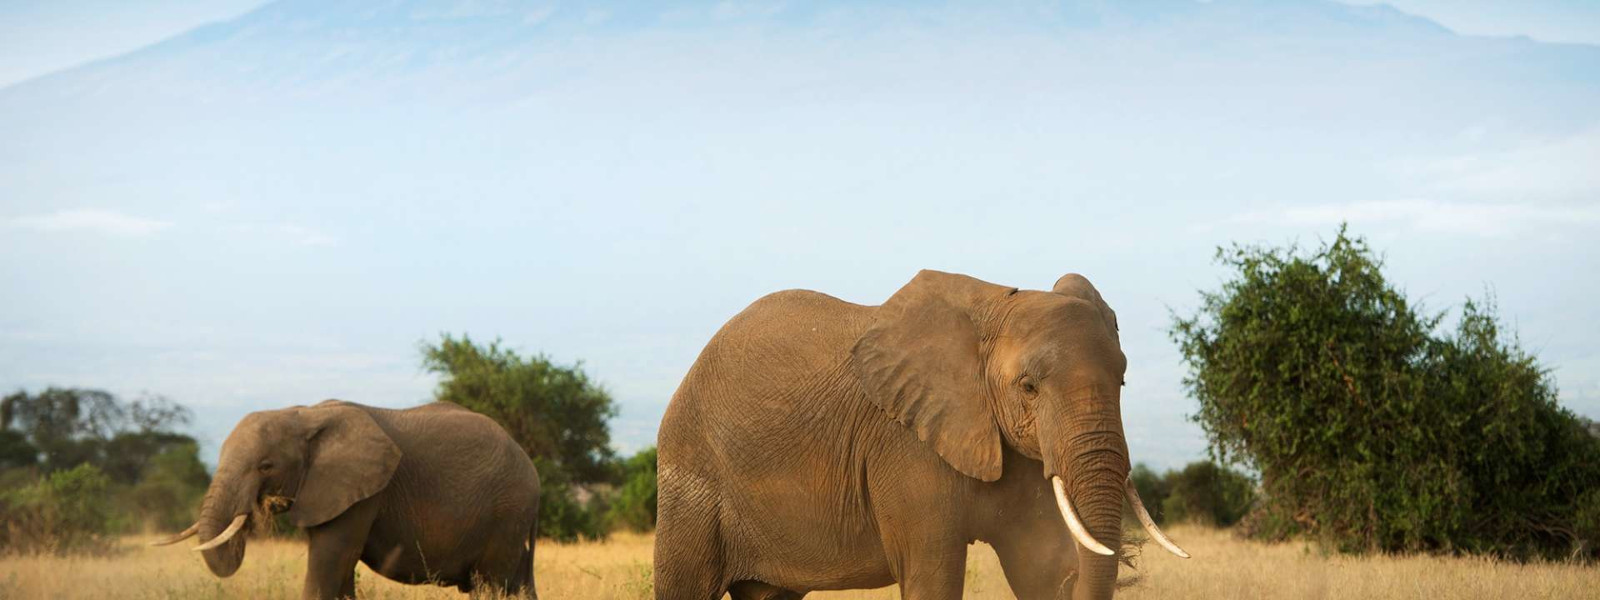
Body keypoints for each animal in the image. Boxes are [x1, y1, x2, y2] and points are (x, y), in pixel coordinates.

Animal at [156, 400, 544, 600]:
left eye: (265, 466)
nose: (254, 510)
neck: (304, 414)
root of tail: (531, 467)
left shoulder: (363, 492)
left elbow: (331, 559)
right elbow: (338, 569)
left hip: (507, 511)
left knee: (489, 583)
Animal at [649, 272, 1190, 600]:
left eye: (1122, 381)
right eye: (1029, 387)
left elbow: (1040, 569)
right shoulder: (905, 444)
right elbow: (933, 575)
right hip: (691, 478)